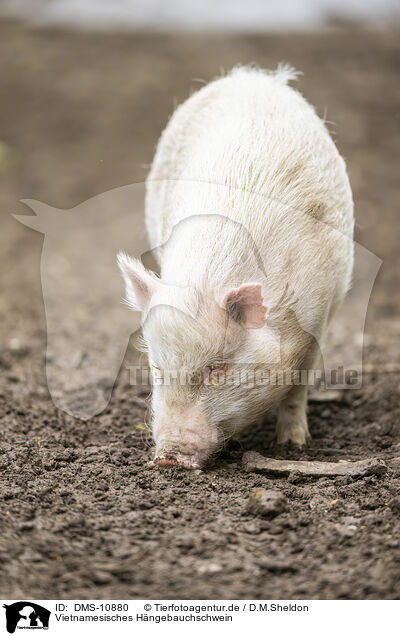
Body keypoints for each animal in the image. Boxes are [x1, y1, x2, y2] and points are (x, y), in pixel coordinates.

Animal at [118, 67, 354, 470]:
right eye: (158, 369)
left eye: (217, 368)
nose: (168, 460)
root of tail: (253, 76)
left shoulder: (318, 318)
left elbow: (298, 387)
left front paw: (292, 446)